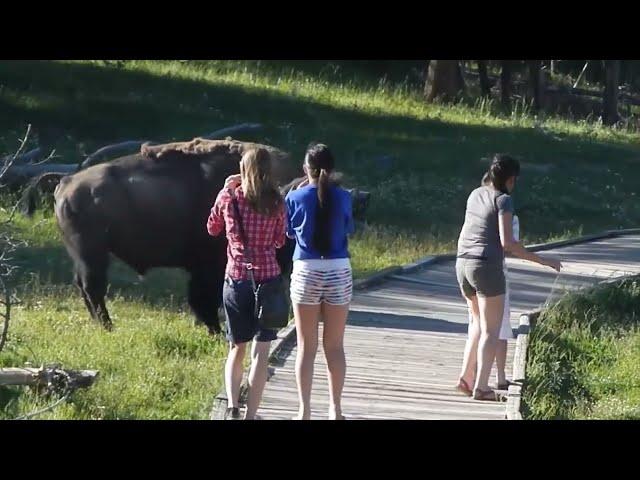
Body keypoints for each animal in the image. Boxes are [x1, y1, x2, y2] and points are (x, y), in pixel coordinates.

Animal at [53, 137, 370, 336]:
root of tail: (66, 183)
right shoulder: (210, 267)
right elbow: (206, 298)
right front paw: (214, 329)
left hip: (86, 256)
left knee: (85, 287)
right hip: (93, 255)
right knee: (93, 288)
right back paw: (108, 326)